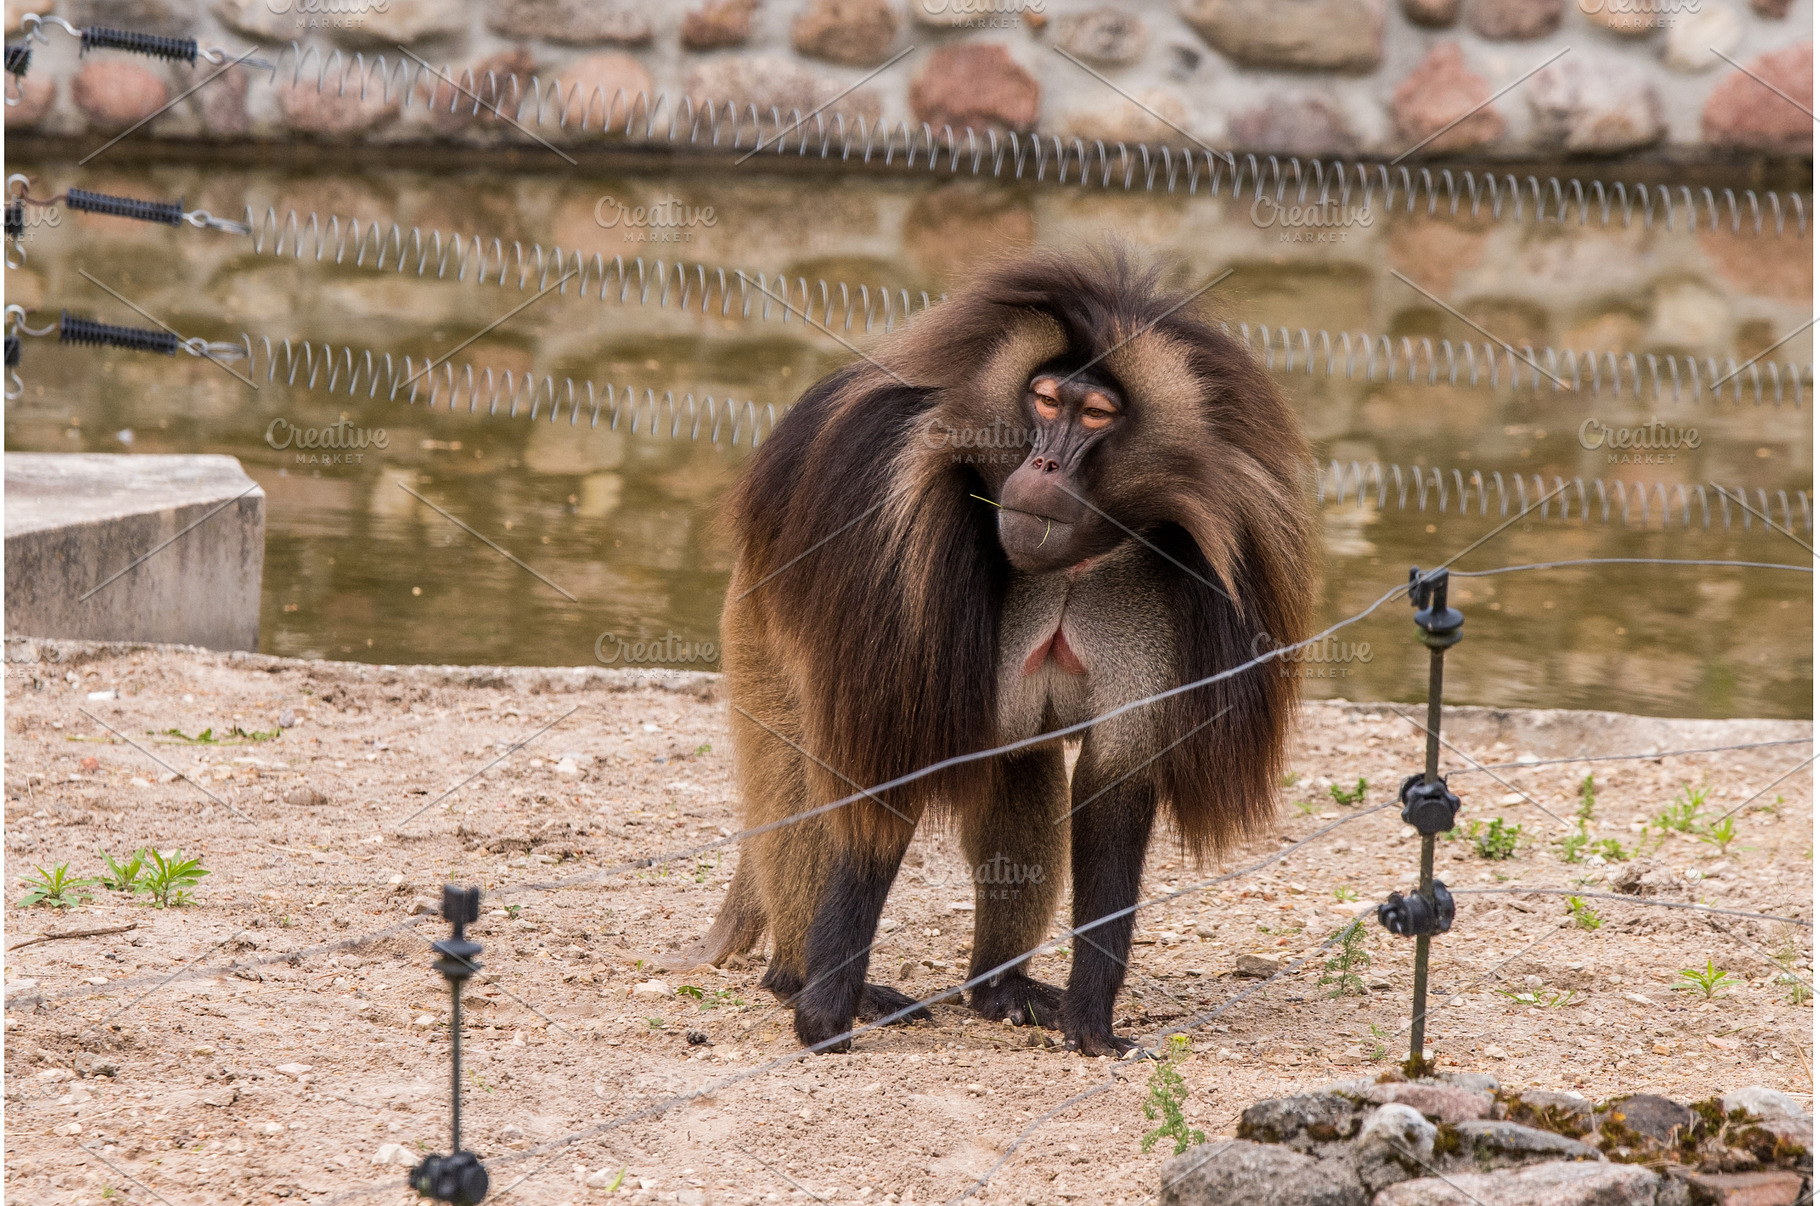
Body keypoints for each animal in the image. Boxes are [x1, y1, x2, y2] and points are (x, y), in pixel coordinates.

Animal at [673, 246, 1317, 1056]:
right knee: (810, 773)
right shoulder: (891, 526)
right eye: (1043, 401)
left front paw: (1091, 1019)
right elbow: (887, 774)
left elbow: (1113, 784)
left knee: (1018, 763)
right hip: (760, 634)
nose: (1042, 468)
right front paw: (822, 1014)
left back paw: (997, 989)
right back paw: (795, 976)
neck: (1072, 566)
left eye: (1095, 415)